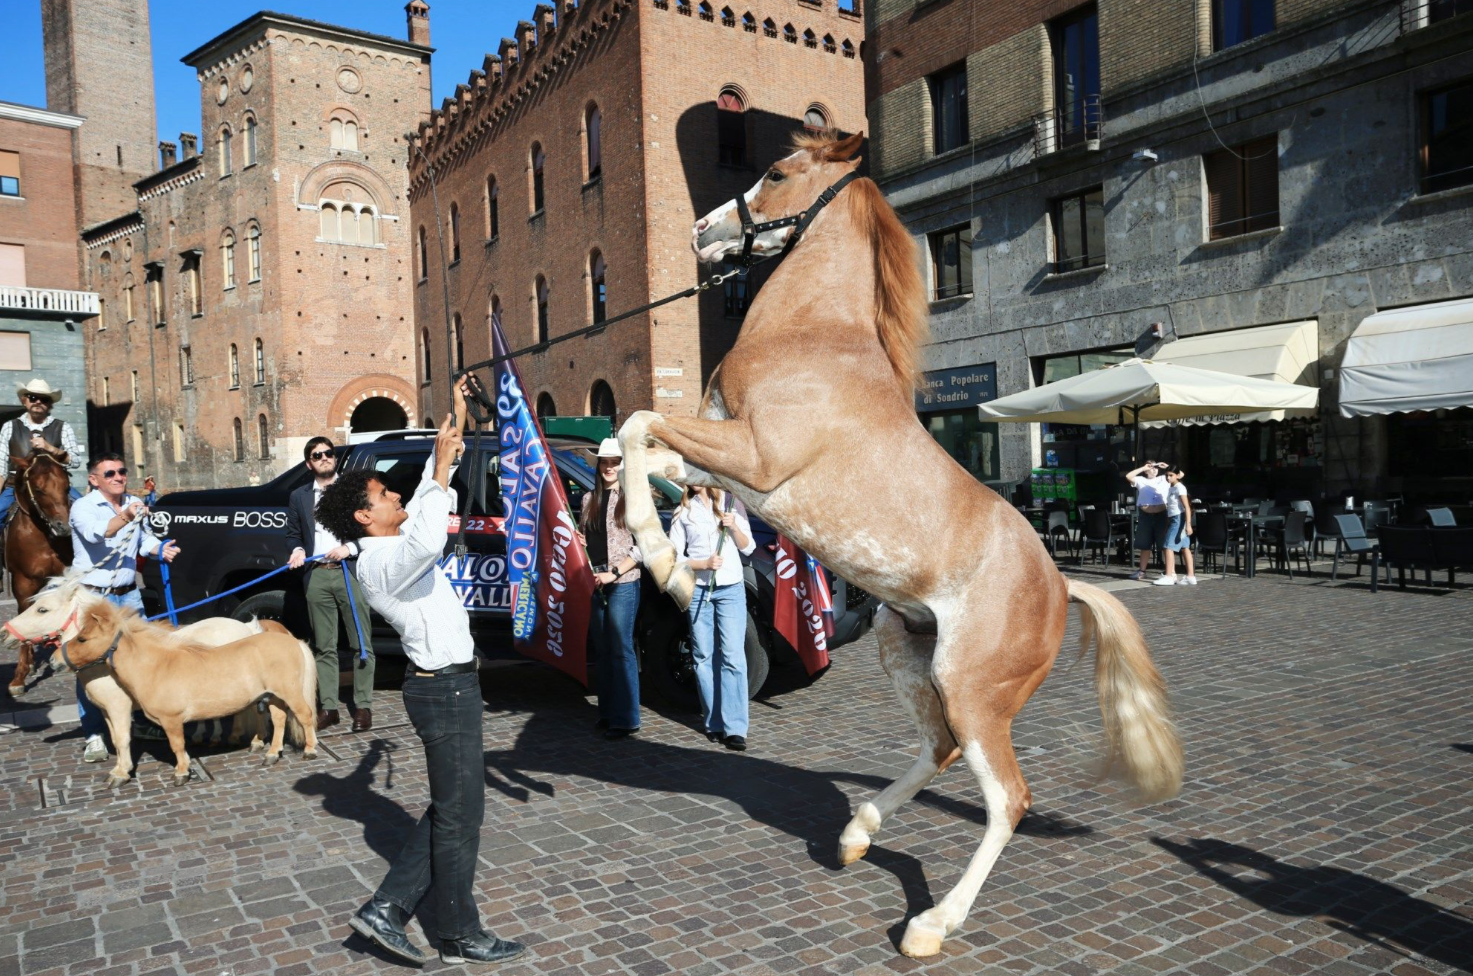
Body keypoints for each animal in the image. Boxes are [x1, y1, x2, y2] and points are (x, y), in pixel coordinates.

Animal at [5, 579, 318, 786]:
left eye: (42, 610)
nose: (54, 660)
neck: (154, 665)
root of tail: (291, 639)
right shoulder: (108, 710)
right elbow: (119, 739)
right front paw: (119, 770)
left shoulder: (149, 714)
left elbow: (161, 743)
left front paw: (167, 773)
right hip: (274, 694)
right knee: (278, 718)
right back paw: (269, 753)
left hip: (289, 693)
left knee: (303, 716)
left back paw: (308, 750)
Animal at [617, 131, 1184, 958]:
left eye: (776, 173)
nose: (701, 231)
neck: (814, 338)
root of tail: (1060, 587)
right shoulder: (716, 459)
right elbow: (642, 449)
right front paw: (662, 555)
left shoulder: (753, 458)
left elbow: (635, 425)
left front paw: (669, 568)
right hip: (906, 652)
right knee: (939, 751)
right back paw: (856, 833)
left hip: (972, 690)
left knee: (1008, 798)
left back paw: (929, 925)